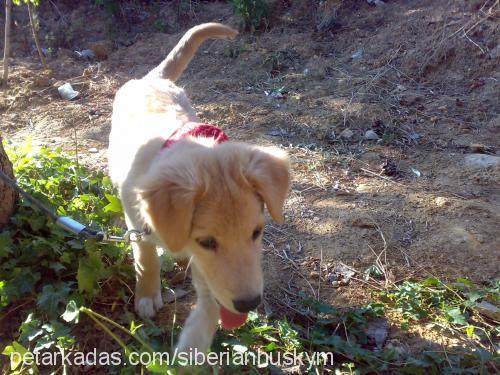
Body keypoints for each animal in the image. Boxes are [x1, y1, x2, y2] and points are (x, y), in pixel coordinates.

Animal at [107, 24, 292, 356]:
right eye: (207, 242)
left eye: (257, 233)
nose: (249, 303)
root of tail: (152, 79)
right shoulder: (136, 217)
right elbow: (145, 256)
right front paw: (147, 294)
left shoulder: (210, 274)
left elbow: (208, 307)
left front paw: (191, 349)